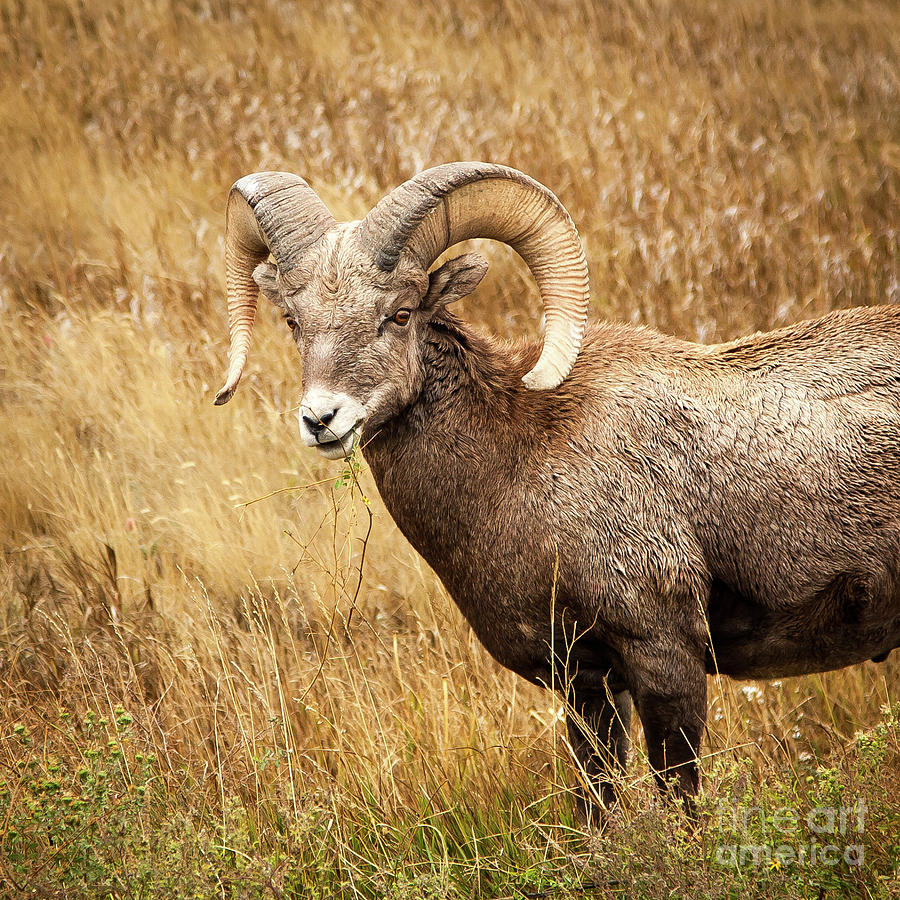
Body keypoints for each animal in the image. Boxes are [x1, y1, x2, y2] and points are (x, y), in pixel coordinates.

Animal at [216, 162, 900, 816]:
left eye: (399, 314)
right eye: (293, 321)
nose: (321, 419)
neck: (518, 463)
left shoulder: (665, 659)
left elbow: (680, 799)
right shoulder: (586, 683)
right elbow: (595, 798)